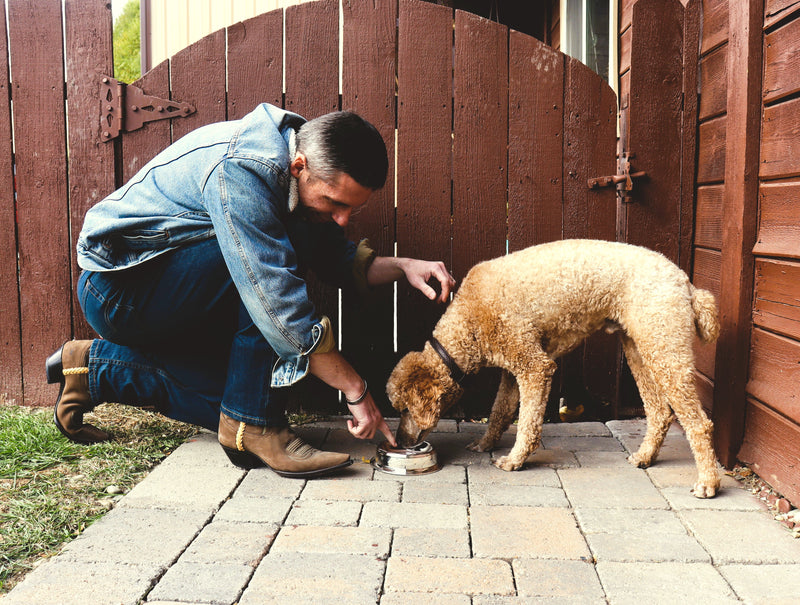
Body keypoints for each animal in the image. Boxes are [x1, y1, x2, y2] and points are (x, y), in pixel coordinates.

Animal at [384, 238, 720, 498]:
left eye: (404, 410)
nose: (399, 442)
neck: (468, 323)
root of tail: (686, 283)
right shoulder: (511, 371)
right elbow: (499, 412)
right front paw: (485, 444)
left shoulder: (535, 367)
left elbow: (528, 421)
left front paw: (515, 460)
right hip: (640, 348)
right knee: (660, 411)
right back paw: (645, 457)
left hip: (665, 349)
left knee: (699, 423)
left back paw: (707, 482)